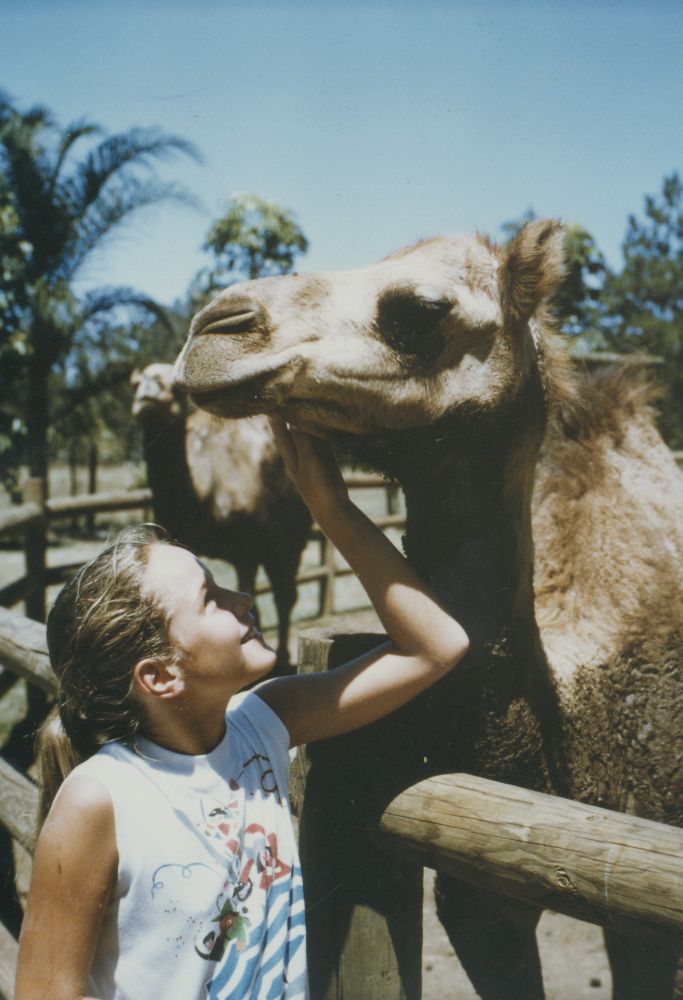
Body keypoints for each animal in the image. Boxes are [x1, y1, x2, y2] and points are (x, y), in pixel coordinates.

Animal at [131, 363, 311, 671]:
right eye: (137, 383)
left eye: (175, 387)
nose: (147, 397)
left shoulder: (247, 551)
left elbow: (251, 606)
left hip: (289, 543)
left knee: (285, 595)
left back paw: (284, 656)